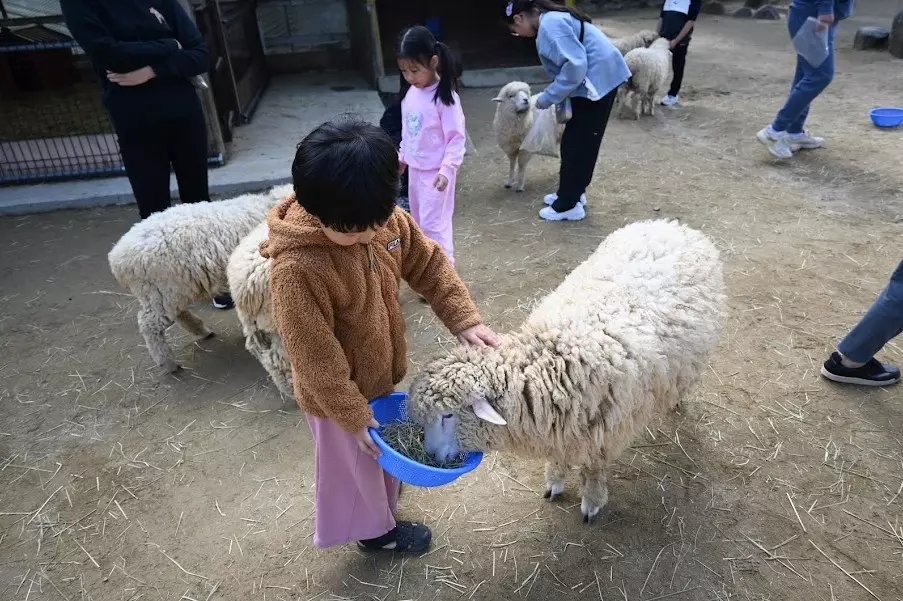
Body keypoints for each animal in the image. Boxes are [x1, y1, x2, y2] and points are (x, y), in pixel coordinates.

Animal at [109, 184, 294, 370]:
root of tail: (116, 258)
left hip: (167, 293)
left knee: (178, 314)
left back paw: (201, 330)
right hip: (159, 292)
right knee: (148, 325)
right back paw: (167, 363)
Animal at [408, 219, 728, 520]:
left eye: (448, 415)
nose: (431, 455)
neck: (550, 366)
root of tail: (674, 227)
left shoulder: (603, 433)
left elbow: (593, 470)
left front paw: (592, 502)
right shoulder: (561, 424)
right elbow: (558, 458)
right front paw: (554, 482)